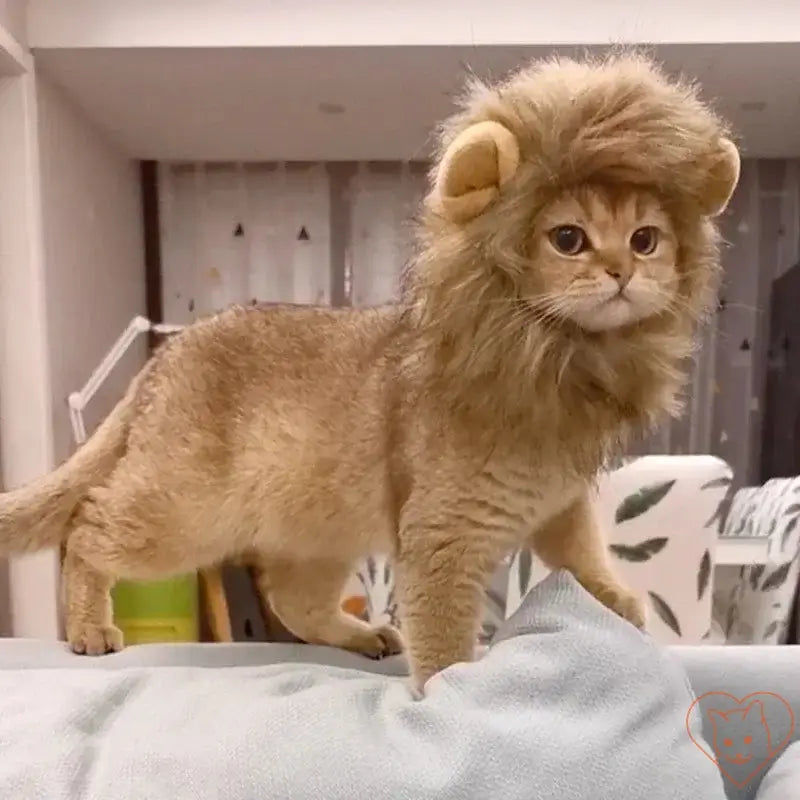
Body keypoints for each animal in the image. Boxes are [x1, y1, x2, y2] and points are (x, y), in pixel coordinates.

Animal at [0, 54, 740, 692]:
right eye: (568, 239)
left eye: (646, 239)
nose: (621, 271)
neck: (556, 365)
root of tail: (166, 356)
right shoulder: (443, 537)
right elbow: (444, 635)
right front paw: (451, 694)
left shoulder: (561, 503)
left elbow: (584, 553)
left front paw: (618, 598)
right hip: (184, 510)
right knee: (86, 527)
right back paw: (91, 629)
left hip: (315, 529)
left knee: (291, 599)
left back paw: (363, 636)